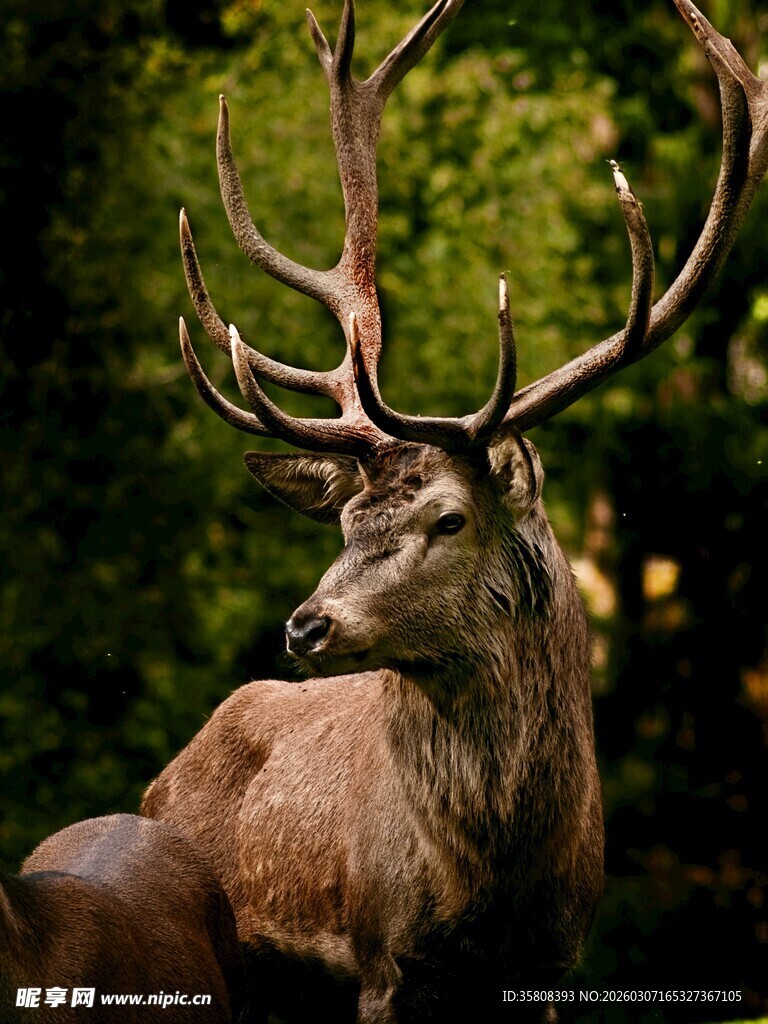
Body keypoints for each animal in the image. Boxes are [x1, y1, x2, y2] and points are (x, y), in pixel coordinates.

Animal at [141, 0, 768, 1021]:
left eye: (448, 519)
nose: (306, 625)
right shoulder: (380, 962)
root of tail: (166, 779)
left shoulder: (556, 963)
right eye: (346, 523)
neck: (497, 894)